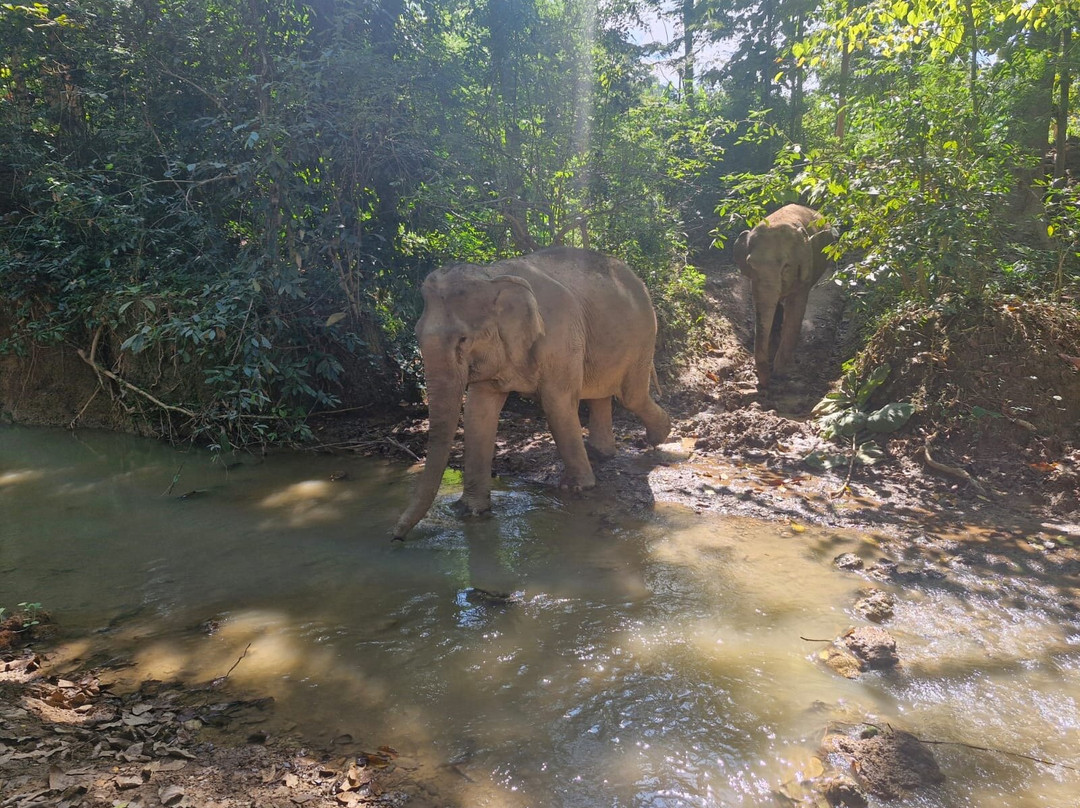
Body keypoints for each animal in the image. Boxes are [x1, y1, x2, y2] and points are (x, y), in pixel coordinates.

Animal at [392, 247, 671, 540]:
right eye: (417, 334)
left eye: (463, 340)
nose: (396, 537)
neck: (492, 275)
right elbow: (478, 412)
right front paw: (468, 511)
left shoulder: (560, 336)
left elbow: (557, 403)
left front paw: (576, 489)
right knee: (600, 395)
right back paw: (601, 453)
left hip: (643, 336)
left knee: (630, 396)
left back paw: (658, 436)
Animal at [733, 204, 837, 388]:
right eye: (751, 264)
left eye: (786, 266)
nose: (764, 383)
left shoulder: (805, 271)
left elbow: (796, 307)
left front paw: (781, 371)